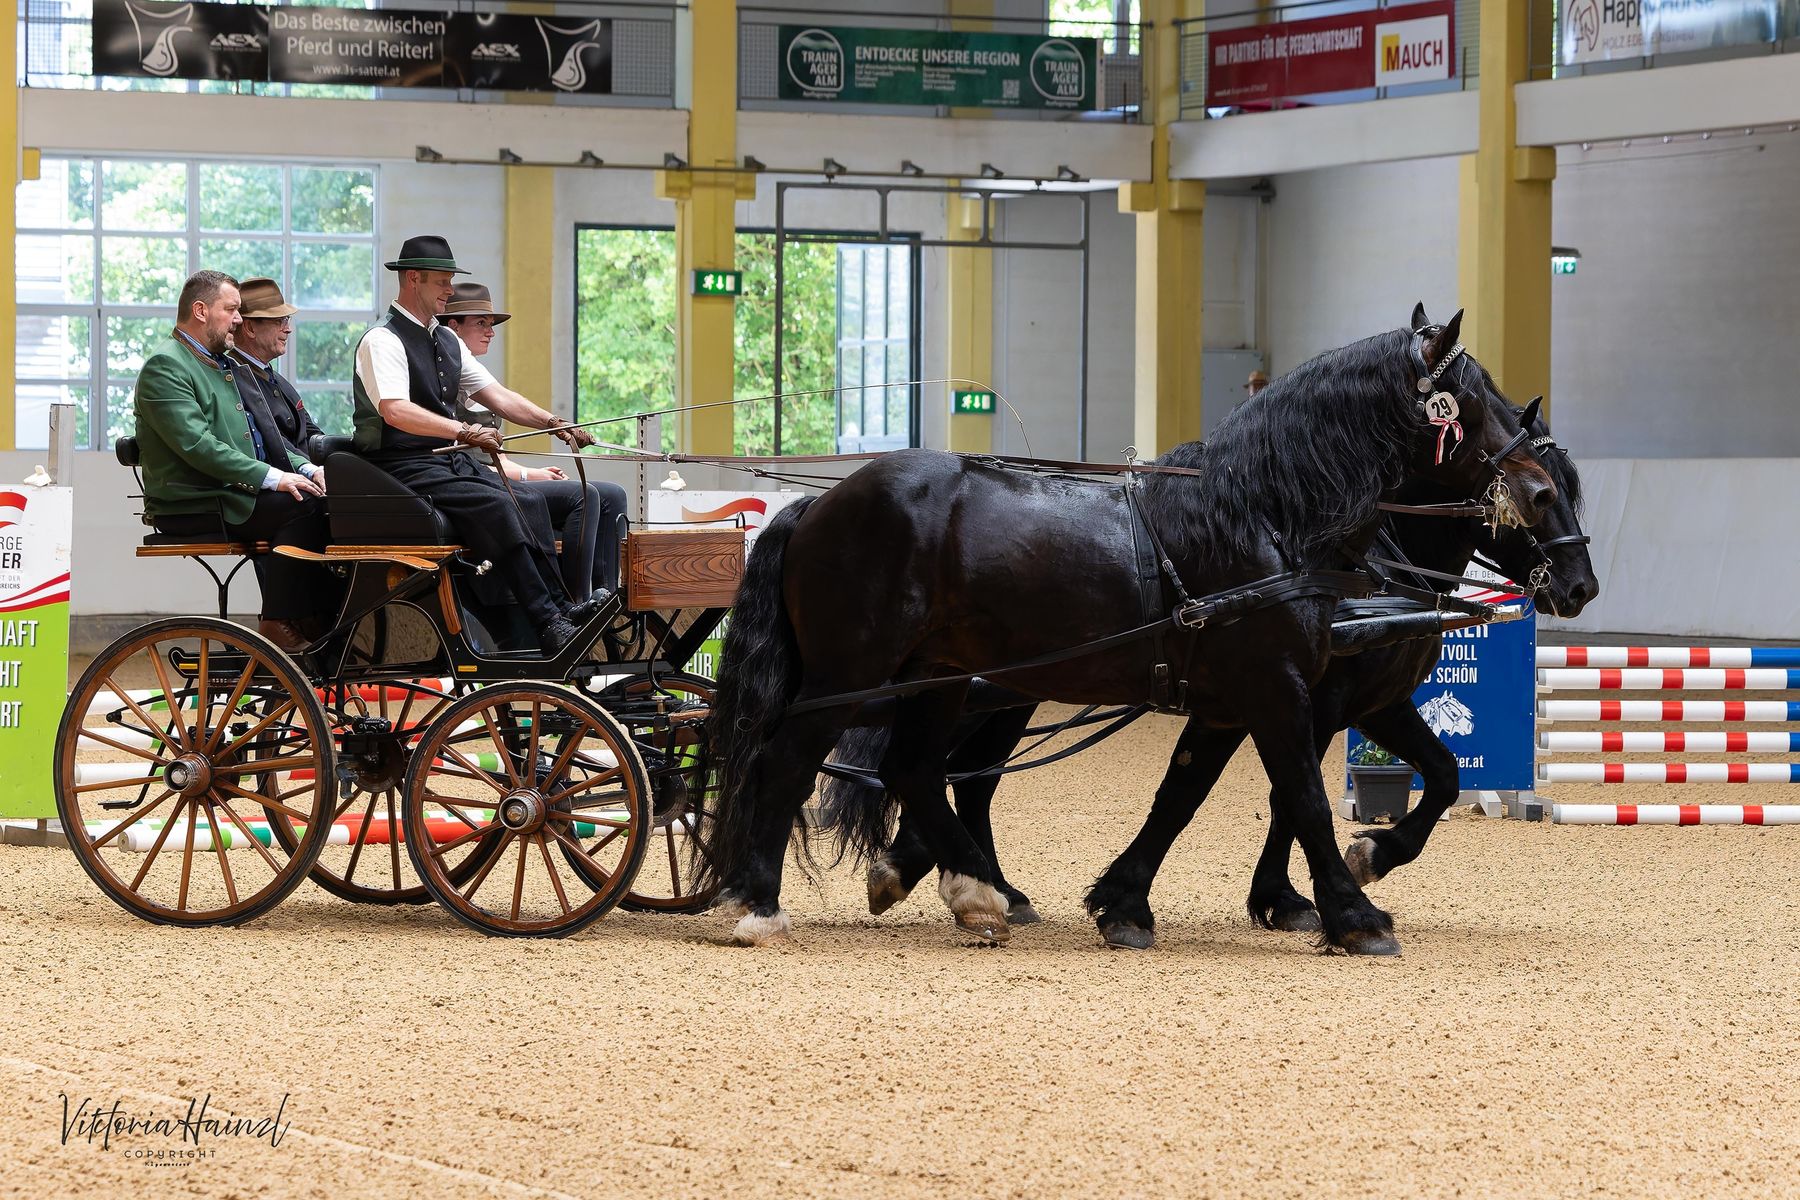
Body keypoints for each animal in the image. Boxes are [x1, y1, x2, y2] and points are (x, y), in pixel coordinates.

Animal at [700, 310, 1557, 955]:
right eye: (1469, 400)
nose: (1539, 492)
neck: (1265, 519)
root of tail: (821, 503)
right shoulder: (1276, 690)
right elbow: (1305, 800)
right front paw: (1354, 915)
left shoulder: (1228, 702)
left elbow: (1180, 797)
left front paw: (1124, 903)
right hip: (852, 673)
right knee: (792, 760)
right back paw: (763, 903)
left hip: (938, 679)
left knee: (917, 770)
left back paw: (975, 894)